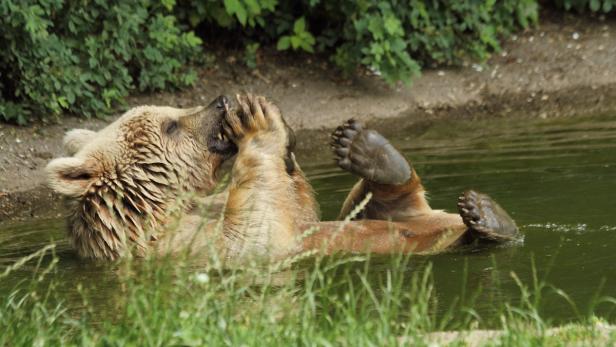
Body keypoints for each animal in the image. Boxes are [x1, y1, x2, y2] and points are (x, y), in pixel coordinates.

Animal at [45, 94, 520, 262]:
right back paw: (487, 217)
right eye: (171, 124)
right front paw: (259, 120)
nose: (220, 101)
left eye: (171, 110)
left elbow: (300, 209)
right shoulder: (177, 247)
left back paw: (372, 151)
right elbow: (257, 229)